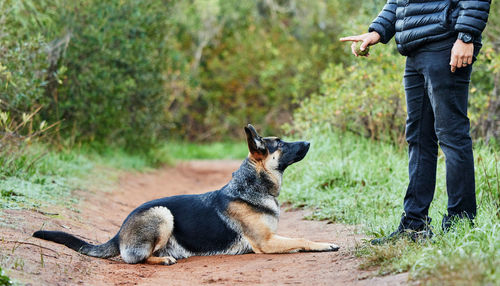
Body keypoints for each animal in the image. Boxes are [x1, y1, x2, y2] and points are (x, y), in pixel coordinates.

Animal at [32, 125, 340, 266]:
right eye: (281, 144)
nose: (309, 141)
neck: (251, 186)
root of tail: (119, 233)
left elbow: (298, 238)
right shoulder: (265, 242)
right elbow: (301, 239)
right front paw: (325, 244)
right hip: (162, 214)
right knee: (135, 258)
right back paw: (162, 260)